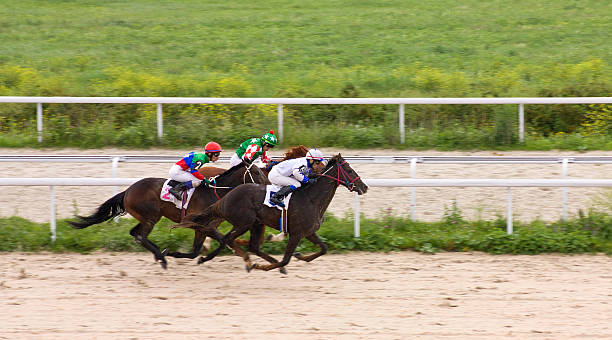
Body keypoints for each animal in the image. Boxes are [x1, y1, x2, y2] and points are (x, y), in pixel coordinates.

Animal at [68, 162, 266, 268]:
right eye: (256, 172)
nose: (267, 186)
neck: (215, 192)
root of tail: (128, 191)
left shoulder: (206, 226)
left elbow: (202, 249)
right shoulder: (199, 225)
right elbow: (216, 242)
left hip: (147, 217)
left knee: (135, 233)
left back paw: (159, 253)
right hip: (151, 216)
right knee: (140, 236)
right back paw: (162, 257)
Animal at [172, 155, 368, 272]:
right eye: (349, 170)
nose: (364, 187)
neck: (312, 199)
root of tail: (227, 195)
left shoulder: (309, 232)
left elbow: (323, 249)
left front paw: (301, 256)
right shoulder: (297, 233)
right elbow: (285, 260)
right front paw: (263, 266)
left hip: (256, 224)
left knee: (248, 245)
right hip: (244, 222)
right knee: (227, 239)